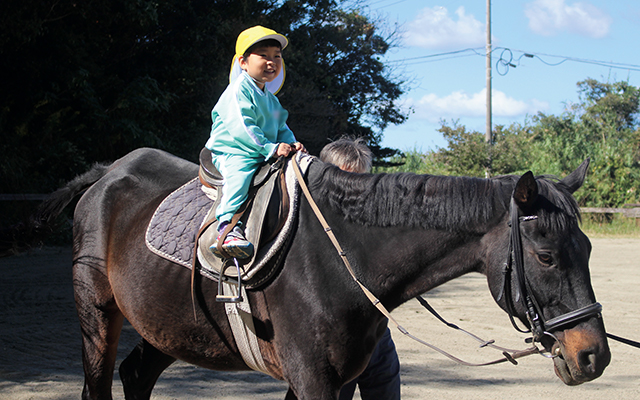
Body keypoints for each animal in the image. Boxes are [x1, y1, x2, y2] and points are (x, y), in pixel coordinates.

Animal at [38, 148, 608, 400]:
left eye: (587, 249)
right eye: (547, 257)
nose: (593, 355)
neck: (343, 260)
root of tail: (106, 174)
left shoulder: (334, 378)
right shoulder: (313, 378)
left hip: (171, 325)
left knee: (137, 374)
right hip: (98, 315)